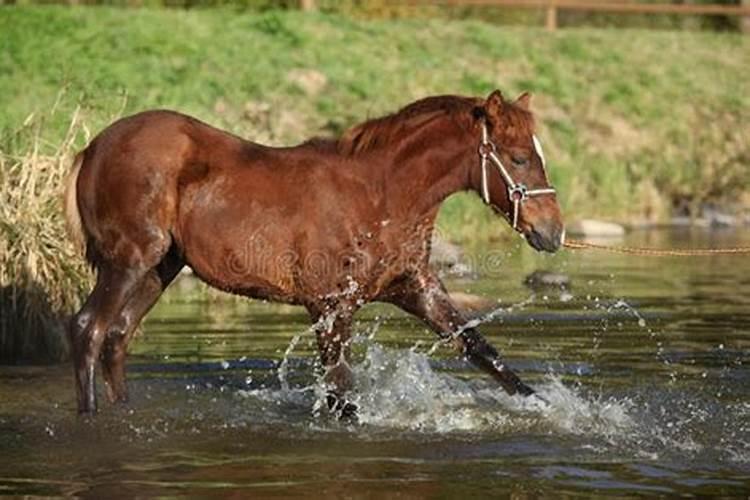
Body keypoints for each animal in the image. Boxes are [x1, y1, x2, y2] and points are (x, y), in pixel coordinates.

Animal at [66, 89, 564, 414]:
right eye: (519, 158)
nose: (553, 231)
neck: (380, 196)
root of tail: (93, 148)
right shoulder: (330, 305)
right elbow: (342, 392)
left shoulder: (415, 289)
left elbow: (483, 352)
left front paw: (552, 409)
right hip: (129, 261)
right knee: (89, 328)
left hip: (159, 268)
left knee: (118, 336)